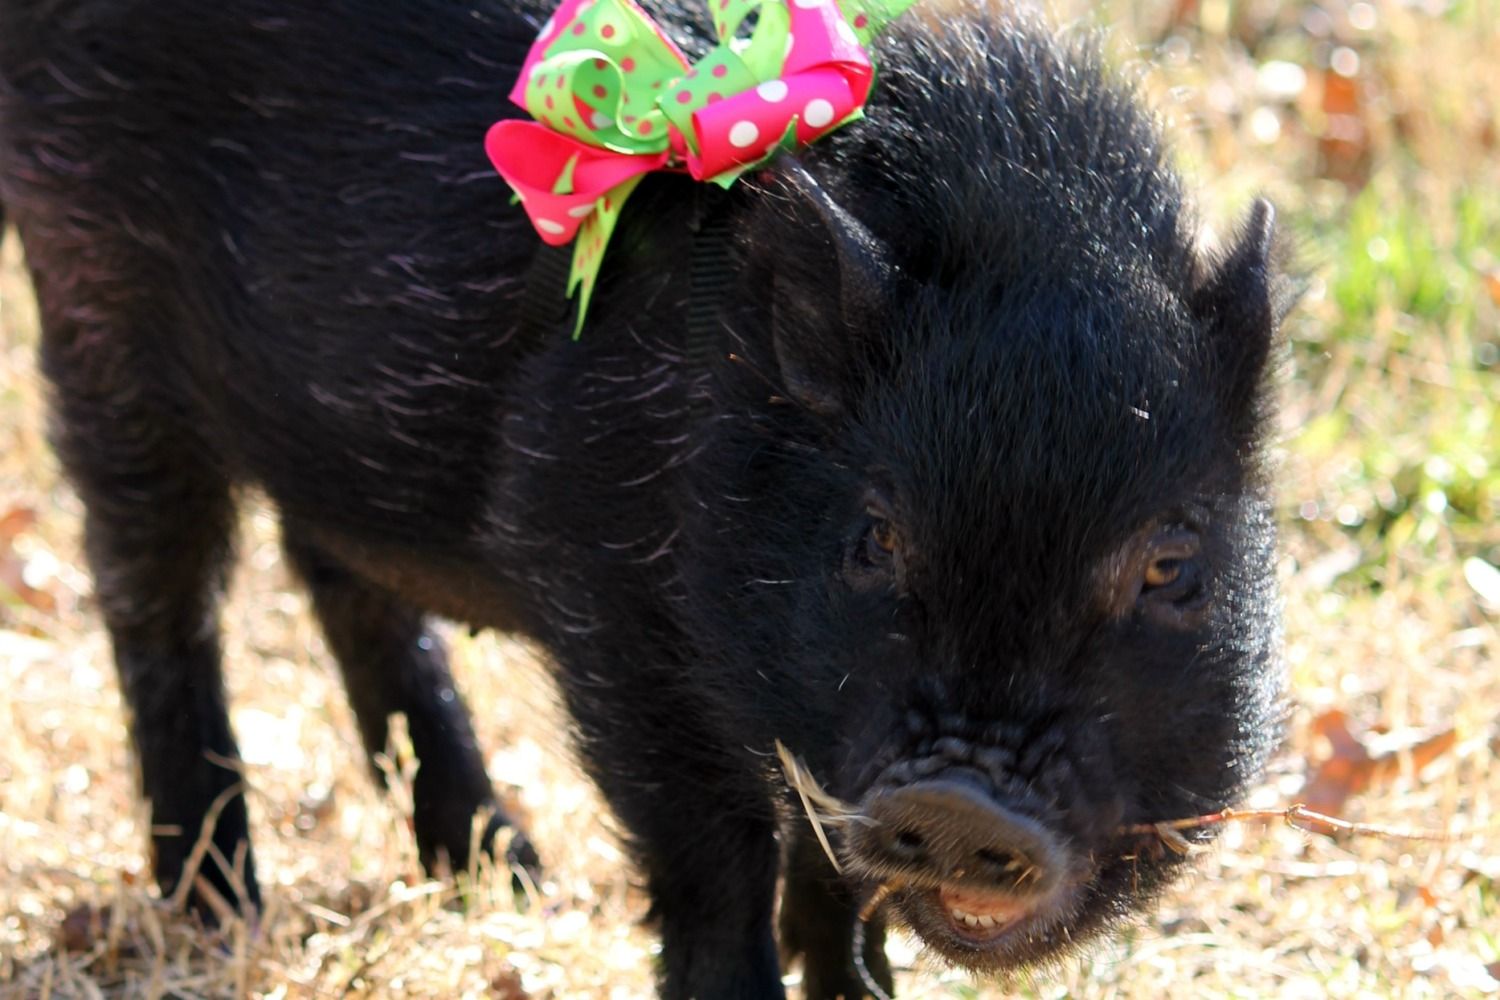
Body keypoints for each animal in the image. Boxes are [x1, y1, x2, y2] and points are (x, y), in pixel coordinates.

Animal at [0, 0, 1289, 996]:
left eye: (1172, 564)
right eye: (874, 538)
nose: (965, 797)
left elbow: (836, 873)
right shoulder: (606, 594)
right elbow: (716, 855)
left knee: (336, 570)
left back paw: (503, 871)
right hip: (94, 308)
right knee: (161, 597)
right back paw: (223, 907)